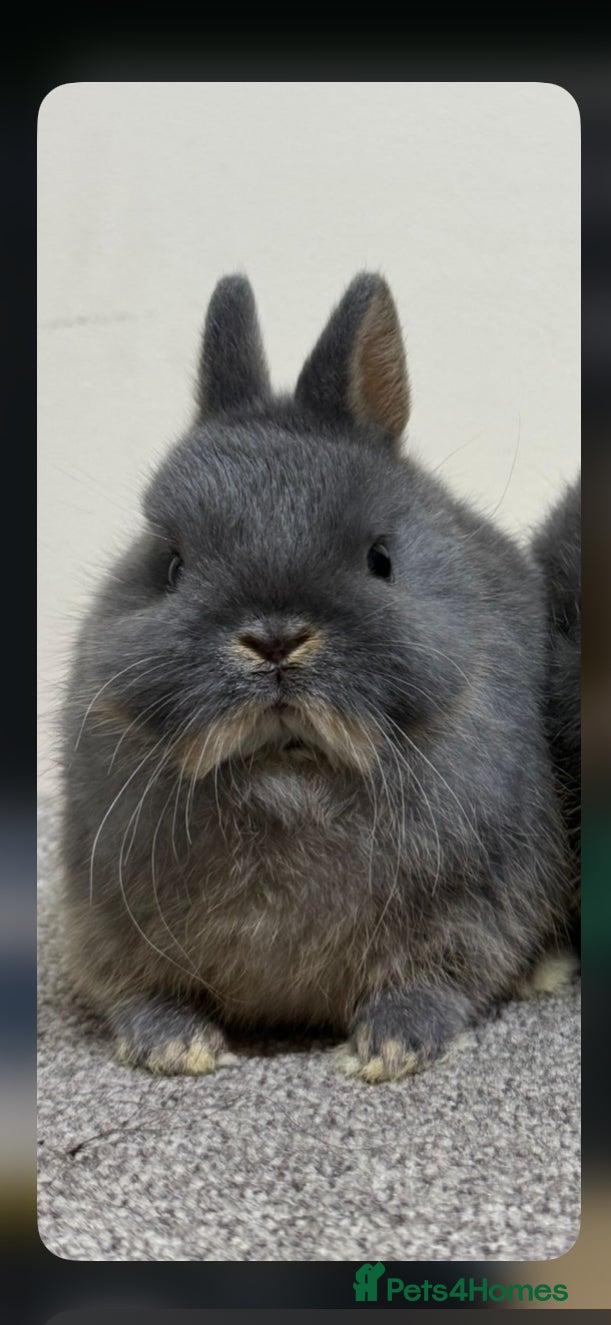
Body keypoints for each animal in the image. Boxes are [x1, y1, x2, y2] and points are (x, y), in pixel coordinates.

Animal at [59, 272, 572, 1084]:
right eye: (170, 565)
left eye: (380, 559)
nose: (274, 641)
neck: (289, 779)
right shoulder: (105, 921)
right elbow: (135, 990)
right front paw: (173, 1045)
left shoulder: (477, 911)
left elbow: (438, 980)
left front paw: (392, 1045)